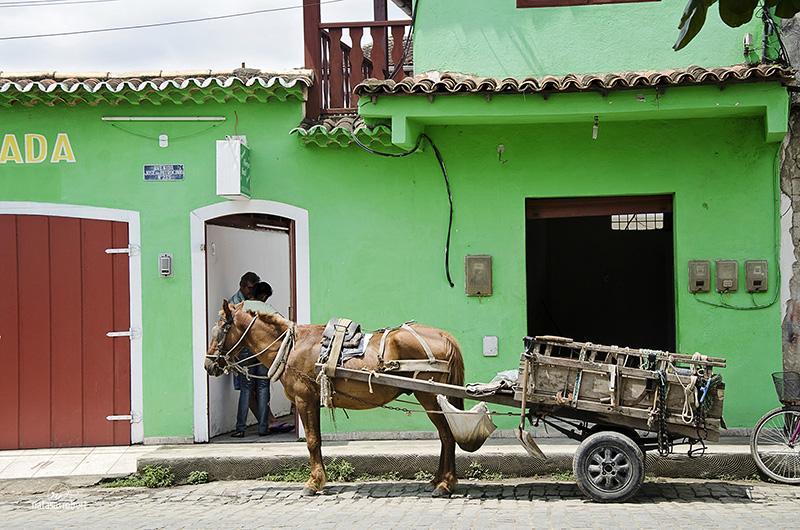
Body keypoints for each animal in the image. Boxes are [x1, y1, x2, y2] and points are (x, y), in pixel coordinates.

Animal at [205, 302, 468, 496]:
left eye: (219, 330)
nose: (208, 365)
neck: (290, 347)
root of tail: (444, 336)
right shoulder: (313, 401)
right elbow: (318, 440)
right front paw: (320, 479)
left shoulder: (303, 399)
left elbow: (311, 441)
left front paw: (313, 483)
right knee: (445, 435)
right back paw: (439, 479)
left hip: (430, 396)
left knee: (447, 435)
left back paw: (445, 483)